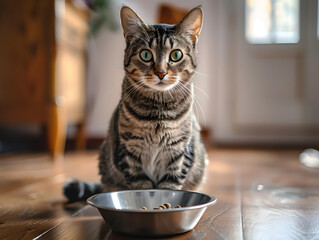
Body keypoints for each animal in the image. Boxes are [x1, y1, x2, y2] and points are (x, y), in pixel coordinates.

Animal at [63, 5, 209, 202]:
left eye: (176, 55)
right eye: (146, 54)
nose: (161, 73)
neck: (159, 112)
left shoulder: (179, 152)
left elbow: (169, 188)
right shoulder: (129, 152)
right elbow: (141, 188)